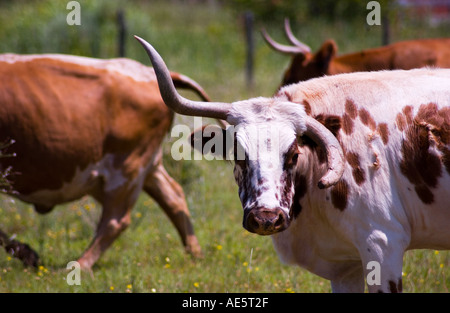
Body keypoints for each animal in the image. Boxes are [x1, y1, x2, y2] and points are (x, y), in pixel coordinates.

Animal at [0, 53, 211, 268]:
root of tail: (146, 72)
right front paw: (27, 254)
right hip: (147, 165)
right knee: (173, 196)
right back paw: (196, 255)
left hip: (127, 167)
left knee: (116, 219)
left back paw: (80, 265)